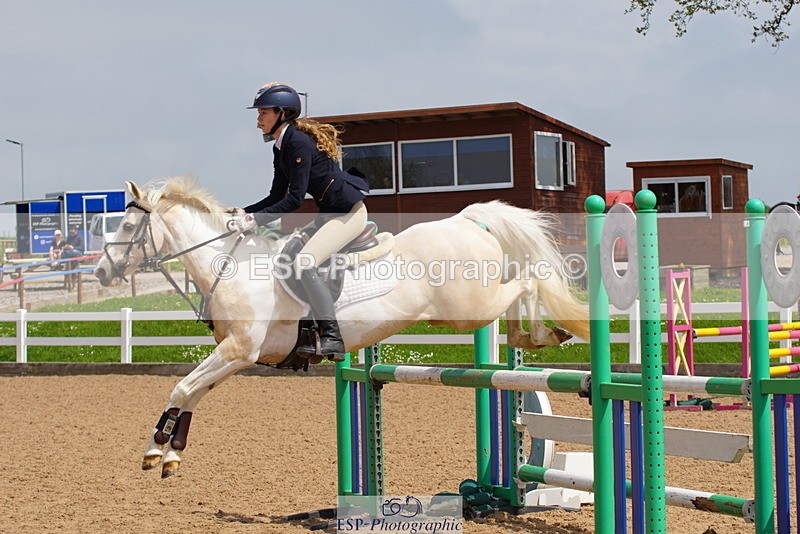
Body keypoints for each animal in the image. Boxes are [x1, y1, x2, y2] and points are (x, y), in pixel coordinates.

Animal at [94, 176, 590, 478]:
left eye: (127, 226)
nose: (101, 272)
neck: (229, 266)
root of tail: (467, 220)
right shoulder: (233, 356)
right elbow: (192, 392)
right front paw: (170, 452)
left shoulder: (239, 351)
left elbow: (181, 387)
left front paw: (155, 448)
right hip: (466, 308)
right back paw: (533, 336)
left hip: (470, 307)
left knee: (527, 280)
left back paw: (541, 334)